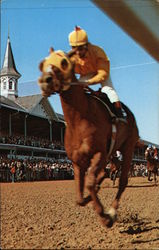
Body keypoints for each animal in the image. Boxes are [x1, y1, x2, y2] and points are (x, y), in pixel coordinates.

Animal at [38, 48, 139, 227]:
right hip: (111, 153)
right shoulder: (78, 161)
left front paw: (105, 216)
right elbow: (80, 196)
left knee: (123, 181)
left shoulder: (99, 152)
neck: (80, 118)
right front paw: (88, 198)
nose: (45, 81)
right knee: (107, 172)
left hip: (128, 147)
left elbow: (90, 183)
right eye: (43, 64)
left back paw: (112, 211)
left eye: (63, 62)